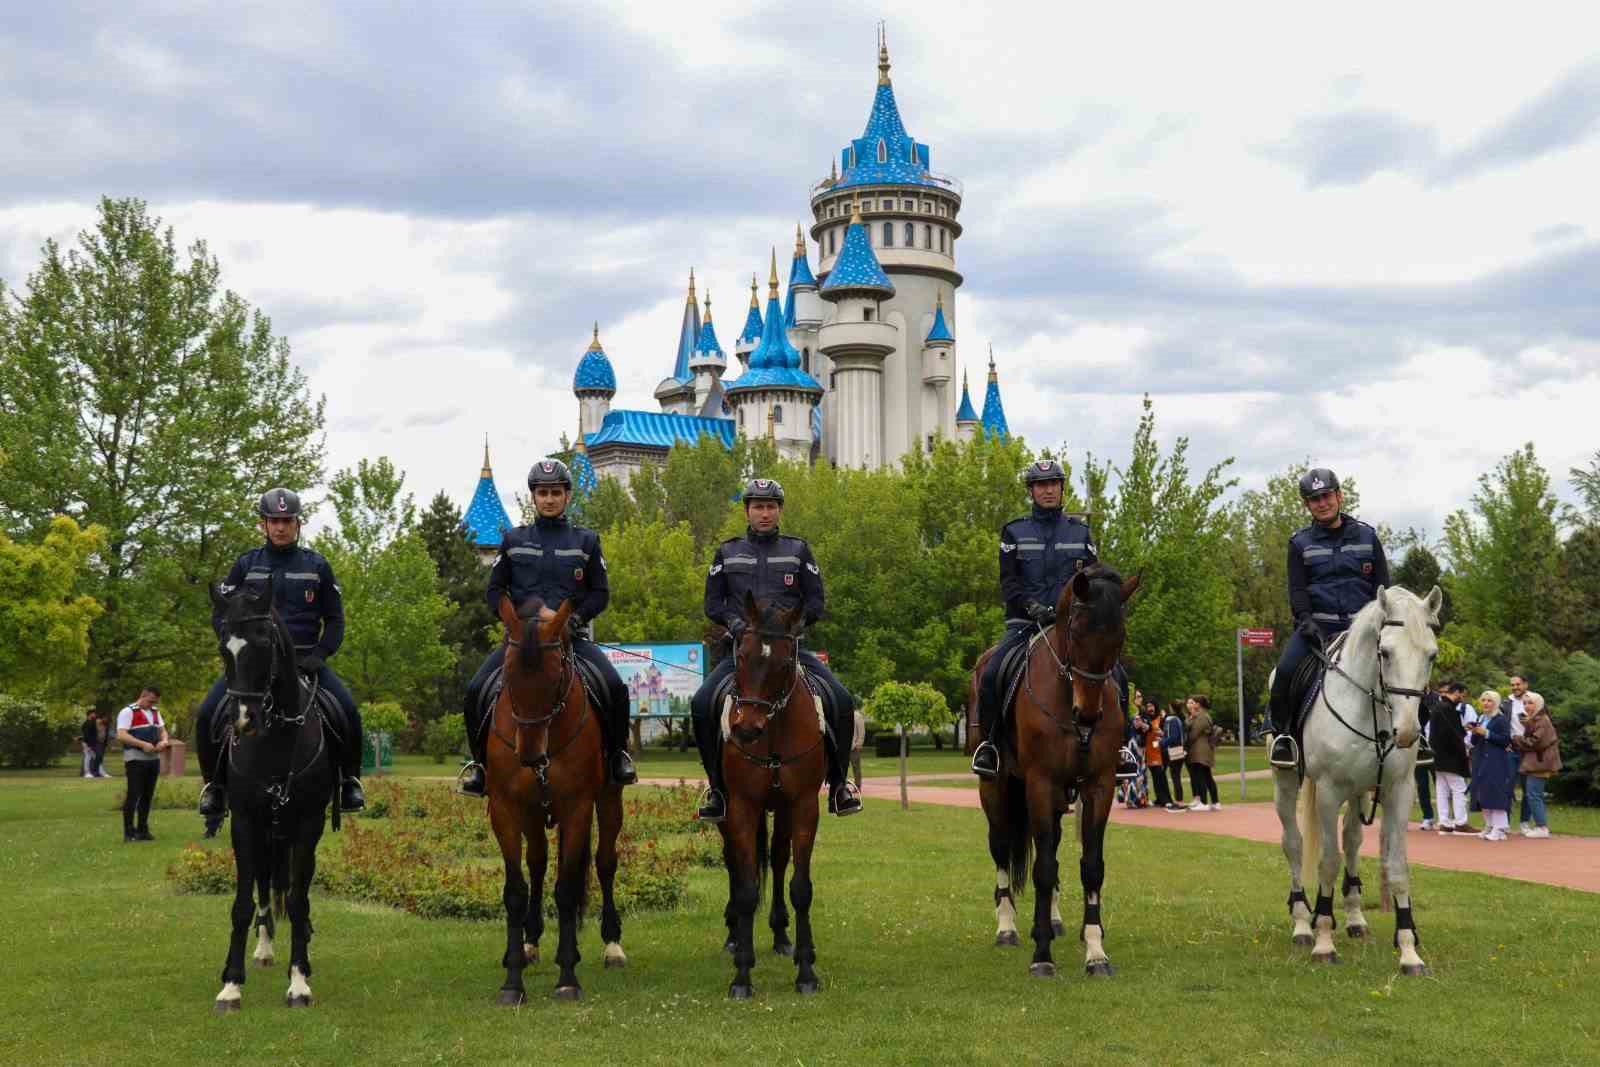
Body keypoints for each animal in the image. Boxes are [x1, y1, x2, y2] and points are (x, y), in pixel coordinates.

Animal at [209, 579, 334, 1017]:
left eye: (264, 642)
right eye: (223, 646)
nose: (244, 719)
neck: (276, 740)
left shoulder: (308, 826)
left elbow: (297, 901)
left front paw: (298, 981)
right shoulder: (246, 823)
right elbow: (243, 903)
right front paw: (231, 984)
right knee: (264, 886)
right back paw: (262, 949)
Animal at [483, 598, 620, 1004]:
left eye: (556, 673)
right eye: (508, 674)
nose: (529, 754)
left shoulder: (577, 808)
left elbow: (567, 889)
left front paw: (567, 977)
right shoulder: (505, 809)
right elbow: (516, 890)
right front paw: (512, 981)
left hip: (608, 800)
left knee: (604, 862)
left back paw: (612, 945)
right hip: (532, 813)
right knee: (539, 863)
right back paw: (529, 943)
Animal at [723, 591, 832, 1004]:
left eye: (784, 663)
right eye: (741, 656)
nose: (746, 729)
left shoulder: (803, 806)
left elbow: (800, 887)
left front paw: (806, 972)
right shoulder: (741, 806)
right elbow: (747, 889)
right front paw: (742, 975)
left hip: (784, 811)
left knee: (780, 859)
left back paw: (787, 938)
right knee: (738, 867)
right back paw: (735, 937)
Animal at [972, 566, 1139, 979]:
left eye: (1120, 636)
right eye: (1076, 631)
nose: (1089, 715)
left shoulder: (1098, 785)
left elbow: (1091, 866)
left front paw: (1095, 951)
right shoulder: (1040, 782)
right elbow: (1043, 868)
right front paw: (1042, 955)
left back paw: (1054, 919)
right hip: (996, 787)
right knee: (1001, 847)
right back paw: (1008, 927)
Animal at [1273, 585, 1440, 979]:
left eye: (1431, 655)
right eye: (1385, 652)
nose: (1407, 732)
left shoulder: (1398, 791)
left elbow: (1396, 866)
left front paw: (1409, 951)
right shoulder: (1329, 792)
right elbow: (1327, 862)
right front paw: (1323, 941)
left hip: (1360, 793)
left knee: (1351, 840)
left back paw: (1353, 917)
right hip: (1287, 784)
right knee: (1294, 844)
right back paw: (1303, 921)